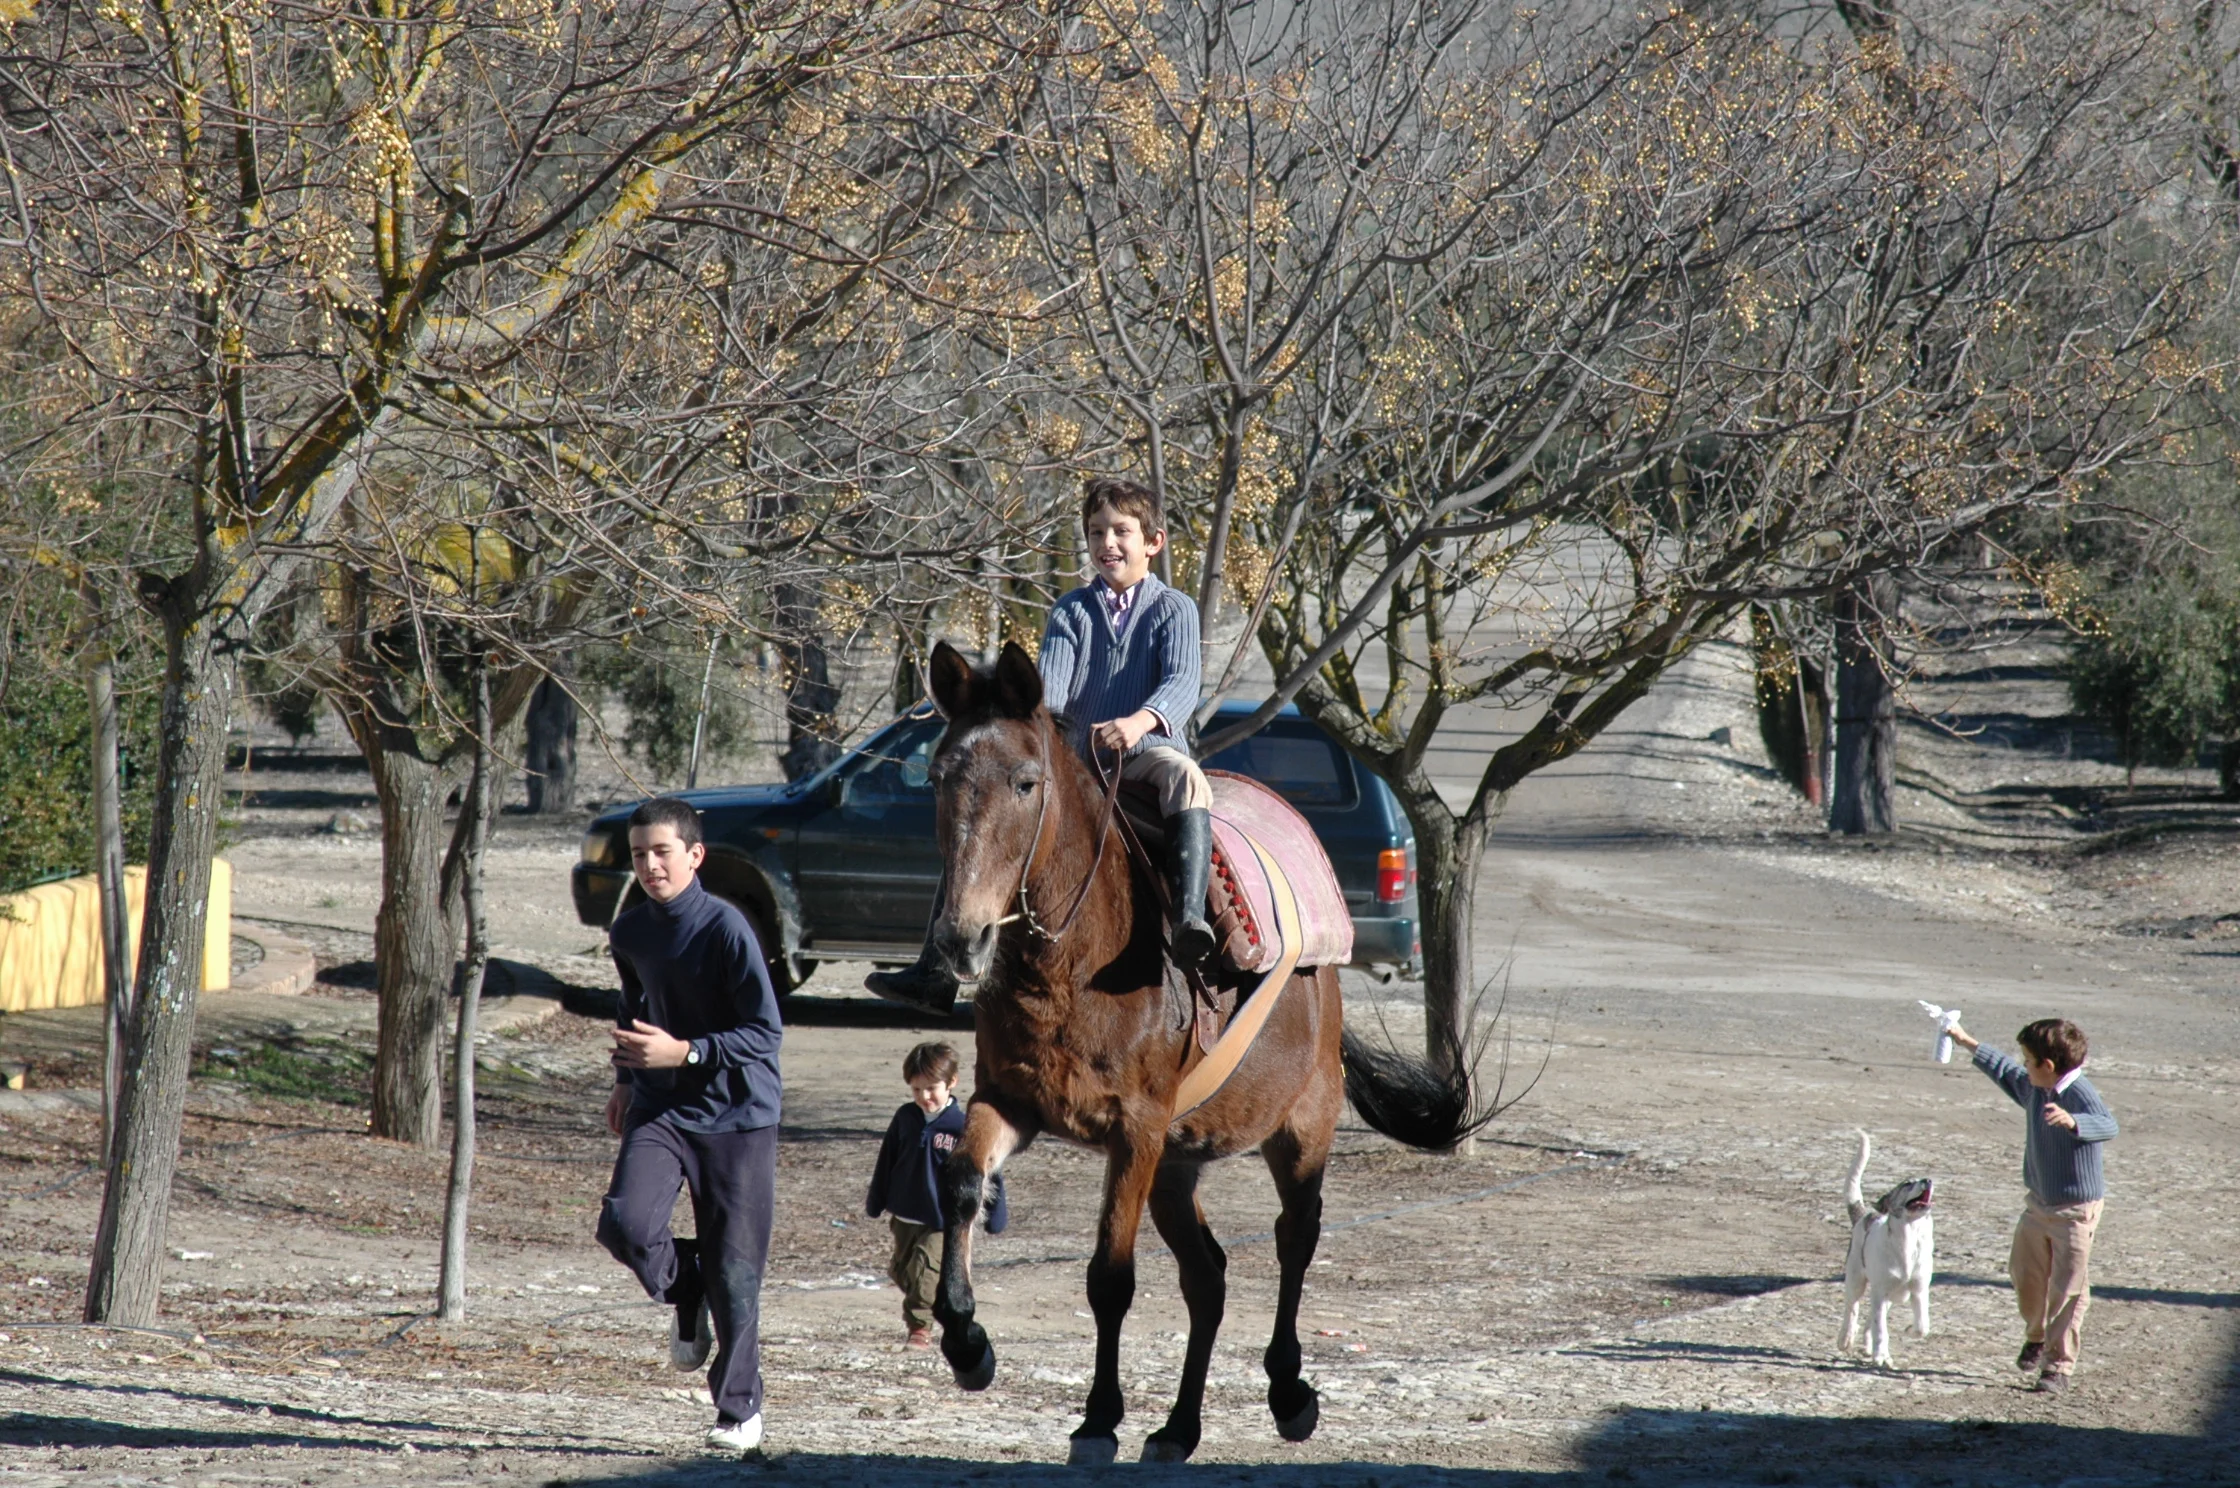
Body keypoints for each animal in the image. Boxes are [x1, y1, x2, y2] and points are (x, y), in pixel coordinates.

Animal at [919, 639, 1486, 1467]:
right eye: (937, 778)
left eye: (1025, 782)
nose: (961, 940)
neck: (1072, 963)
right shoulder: (1013, 1102)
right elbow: (963, 1185)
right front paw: (966, 1341)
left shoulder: (1136, 1130)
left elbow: (1110, 1278)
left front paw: (1099, 1419)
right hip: (1176, 1168)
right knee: (1208, 1278)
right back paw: (1179, 1428)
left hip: (1300, 1128)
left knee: (1293, 1240)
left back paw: (1288, 1393)